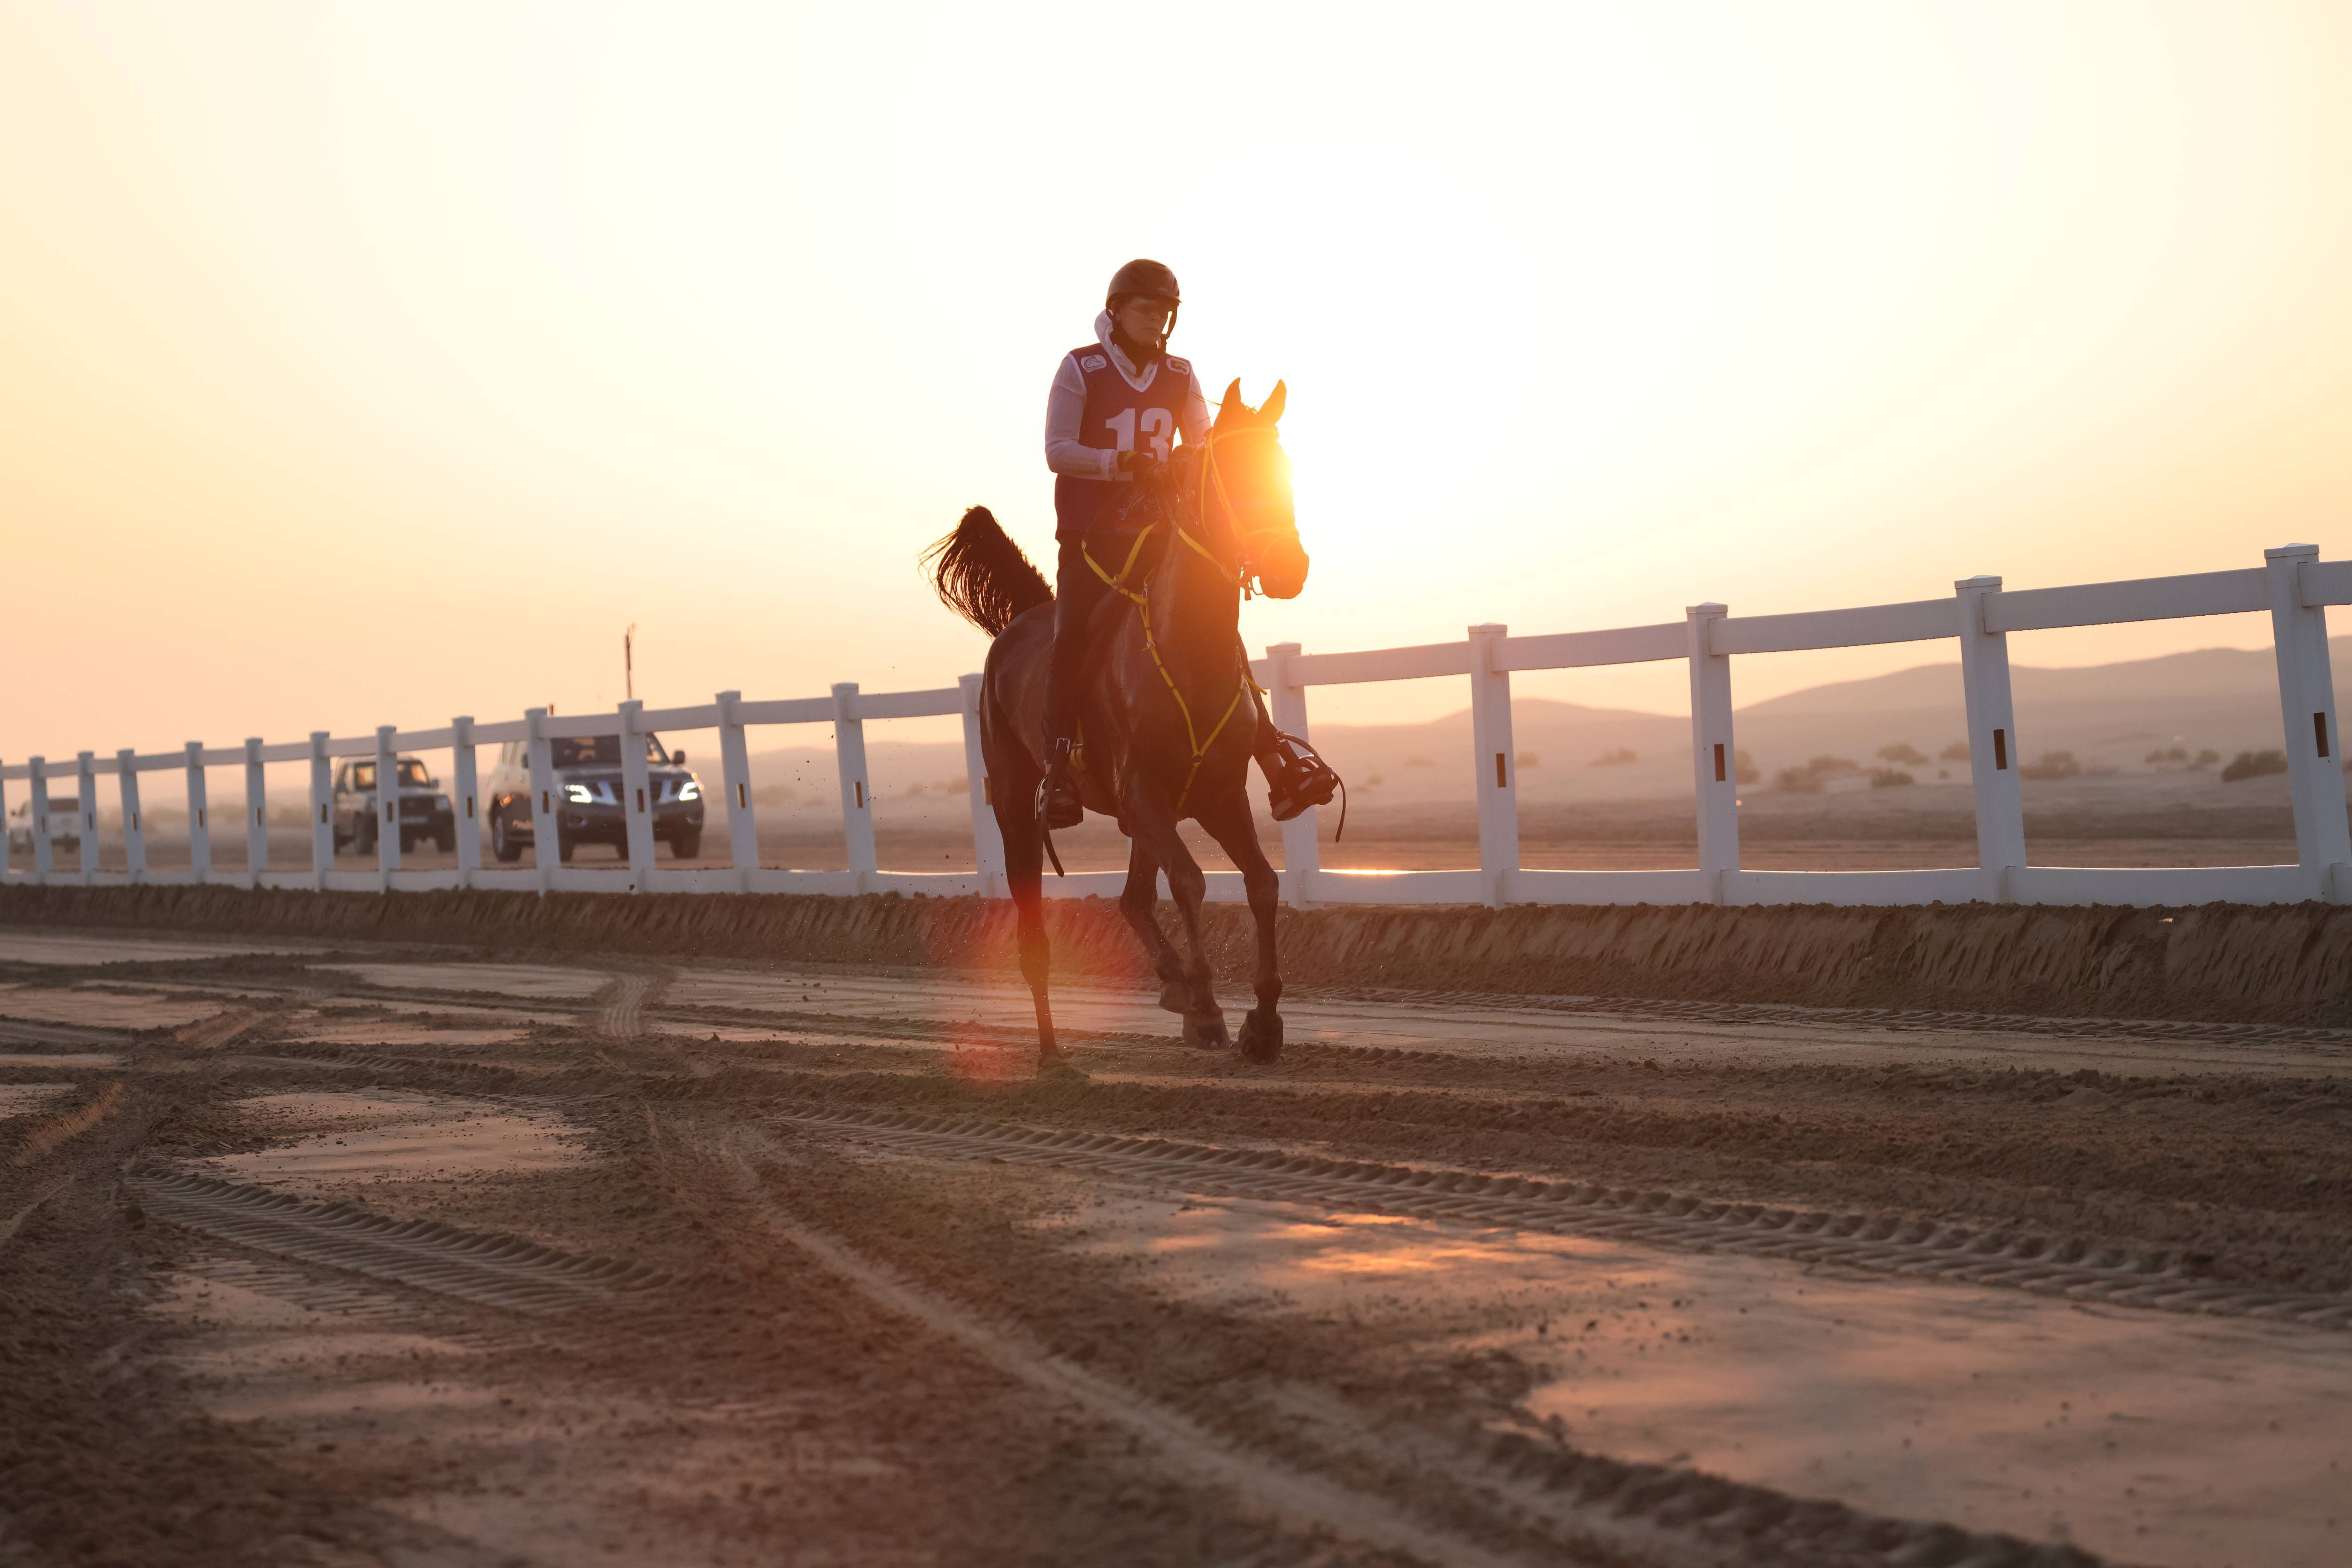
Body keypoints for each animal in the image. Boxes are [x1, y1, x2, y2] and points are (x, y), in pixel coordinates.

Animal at [927, 376, 1317, 1081]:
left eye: (1284, 469)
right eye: (1228, 471)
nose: (1286, 565)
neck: (1189, 650)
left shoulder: (1219, 794)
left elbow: (1262, 883)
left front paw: (1263, 1020)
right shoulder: (1144, 795)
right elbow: (1191, 882)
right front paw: (1212, 1006)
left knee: (1134, 899)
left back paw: (1174, 985)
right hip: (1018, 812)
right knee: (1035, 935)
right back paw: (1055, 1052)